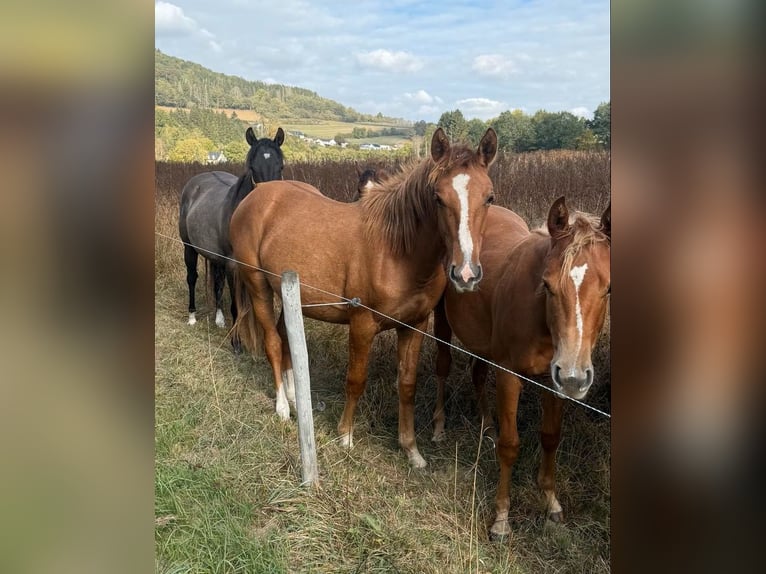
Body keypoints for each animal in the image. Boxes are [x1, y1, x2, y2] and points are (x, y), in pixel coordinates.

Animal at [178, 126, 285, 344]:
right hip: (189, 248)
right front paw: (236, 342)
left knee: (217, 284)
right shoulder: (234, 265)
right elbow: (236, 306)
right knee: (192, 278)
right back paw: (192, 316)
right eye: (252, 167)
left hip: (216, 257)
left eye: (281, 167)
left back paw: (219, 319)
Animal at [230, 127, 498, 468]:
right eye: (438, 198)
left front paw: (411, 450)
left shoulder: (414, 326)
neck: (396, 250)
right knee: (273, 343)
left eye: (489, 197)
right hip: (258, 287)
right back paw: (282, 407)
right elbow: (356, 380)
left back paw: (295, 398)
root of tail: (259, 196)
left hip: (292, 295)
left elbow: (407, 385)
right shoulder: (362, 323)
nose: (465, 273)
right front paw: (345, 436)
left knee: (286, 338)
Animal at [432, 196, 610, 539]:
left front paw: (551, 503)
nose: (574, 377)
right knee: (442, 368)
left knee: (477, 374)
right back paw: (438, 427)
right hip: (441, 321)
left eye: (608, 289)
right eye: (547, 285)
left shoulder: (553, 383)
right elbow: (510, 445)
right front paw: (501, 520)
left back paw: (488, 426)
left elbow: (551, 437)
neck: (540, 318)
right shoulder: (509, 376)